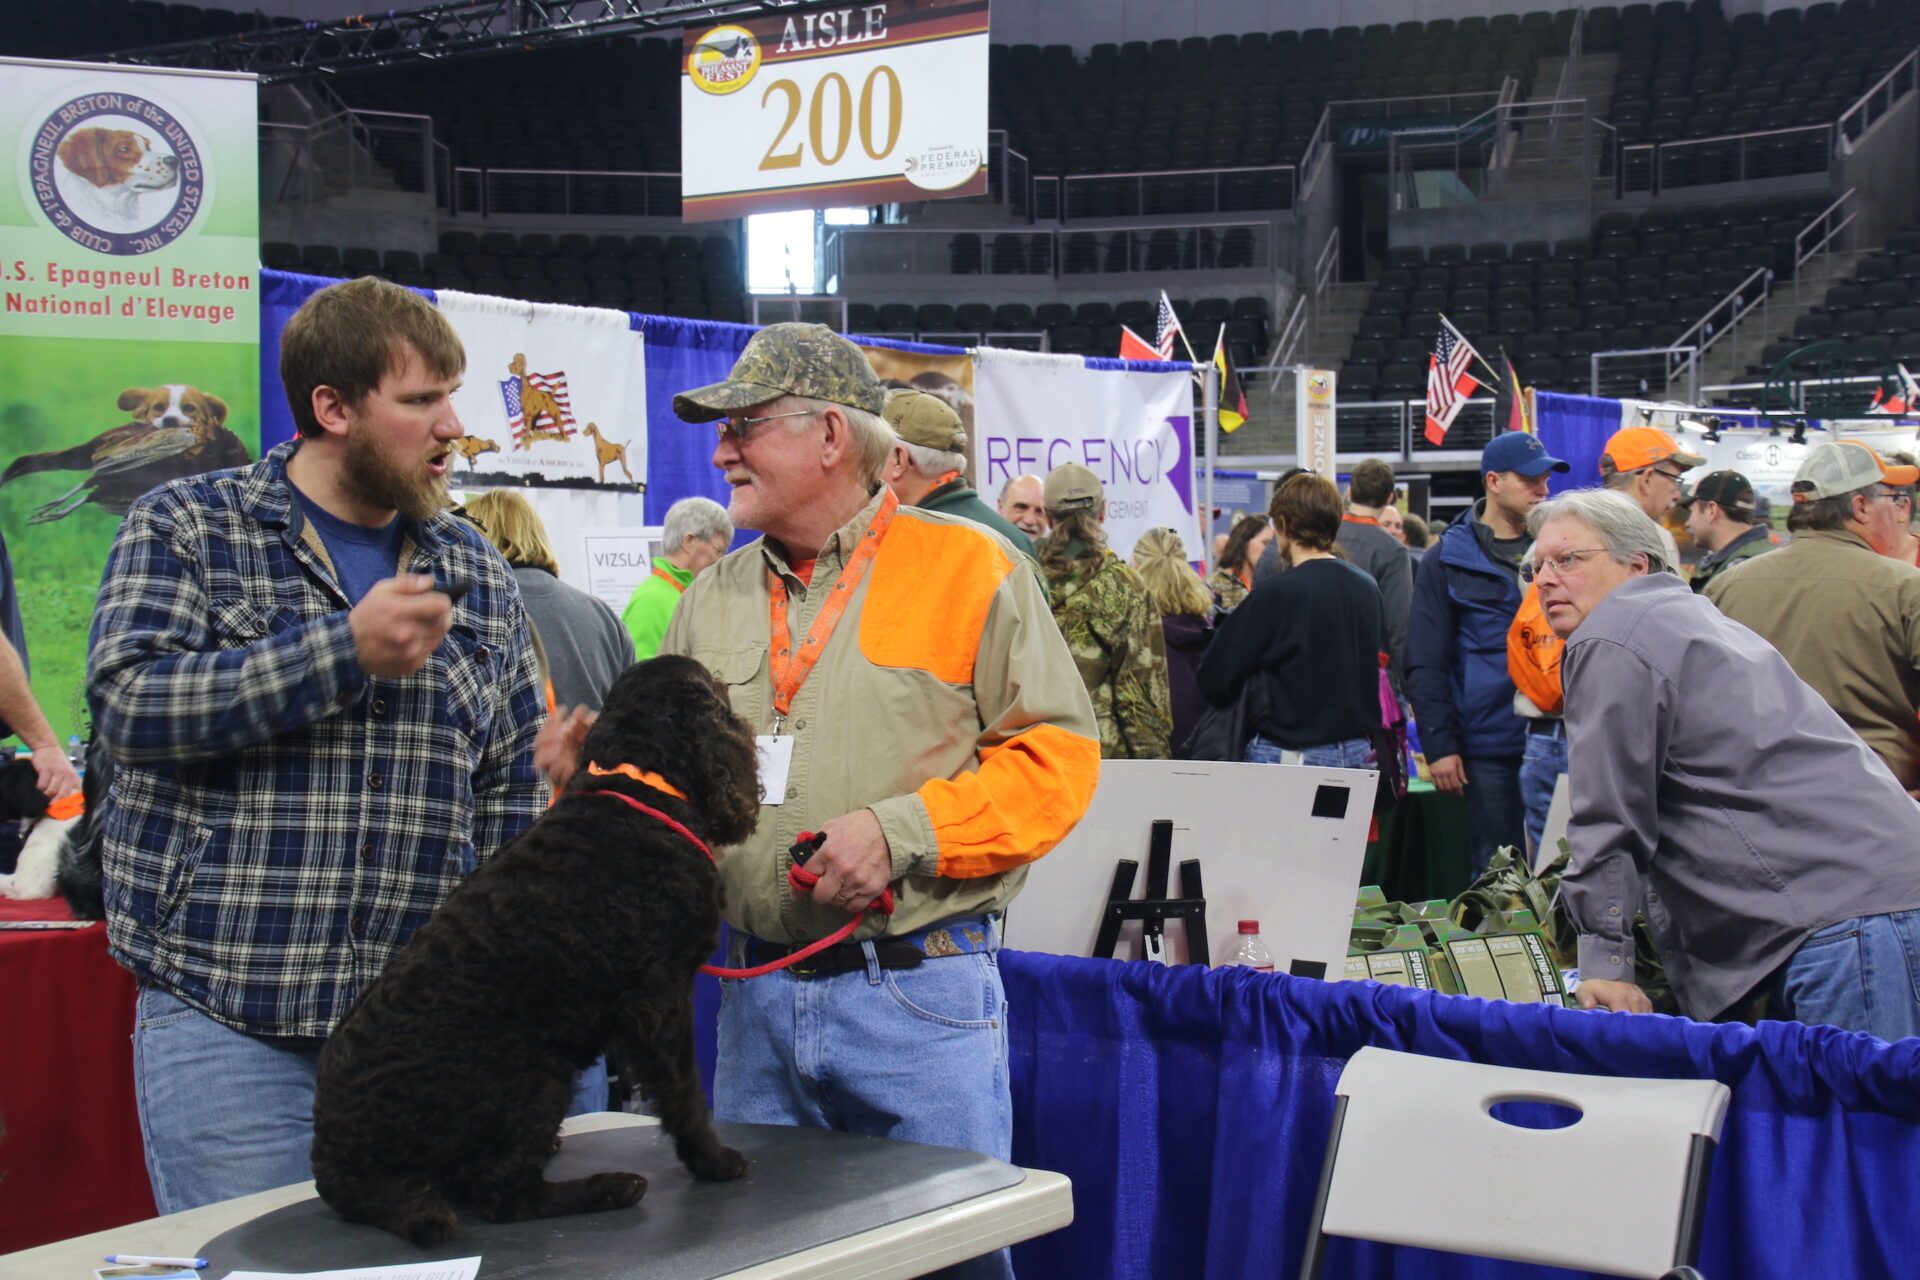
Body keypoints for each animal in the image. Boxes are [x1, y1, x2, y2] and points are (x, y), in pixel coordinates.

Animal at [310, 654, 762, 1244]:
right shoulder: (661, 999)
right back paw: (607, 1187)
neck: (635, 780)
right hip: (536, 1078)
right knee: (506, 1196)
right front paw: (712, 1160)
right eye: (717, 687)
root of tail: (334, 1159)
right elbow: (685, 1094)